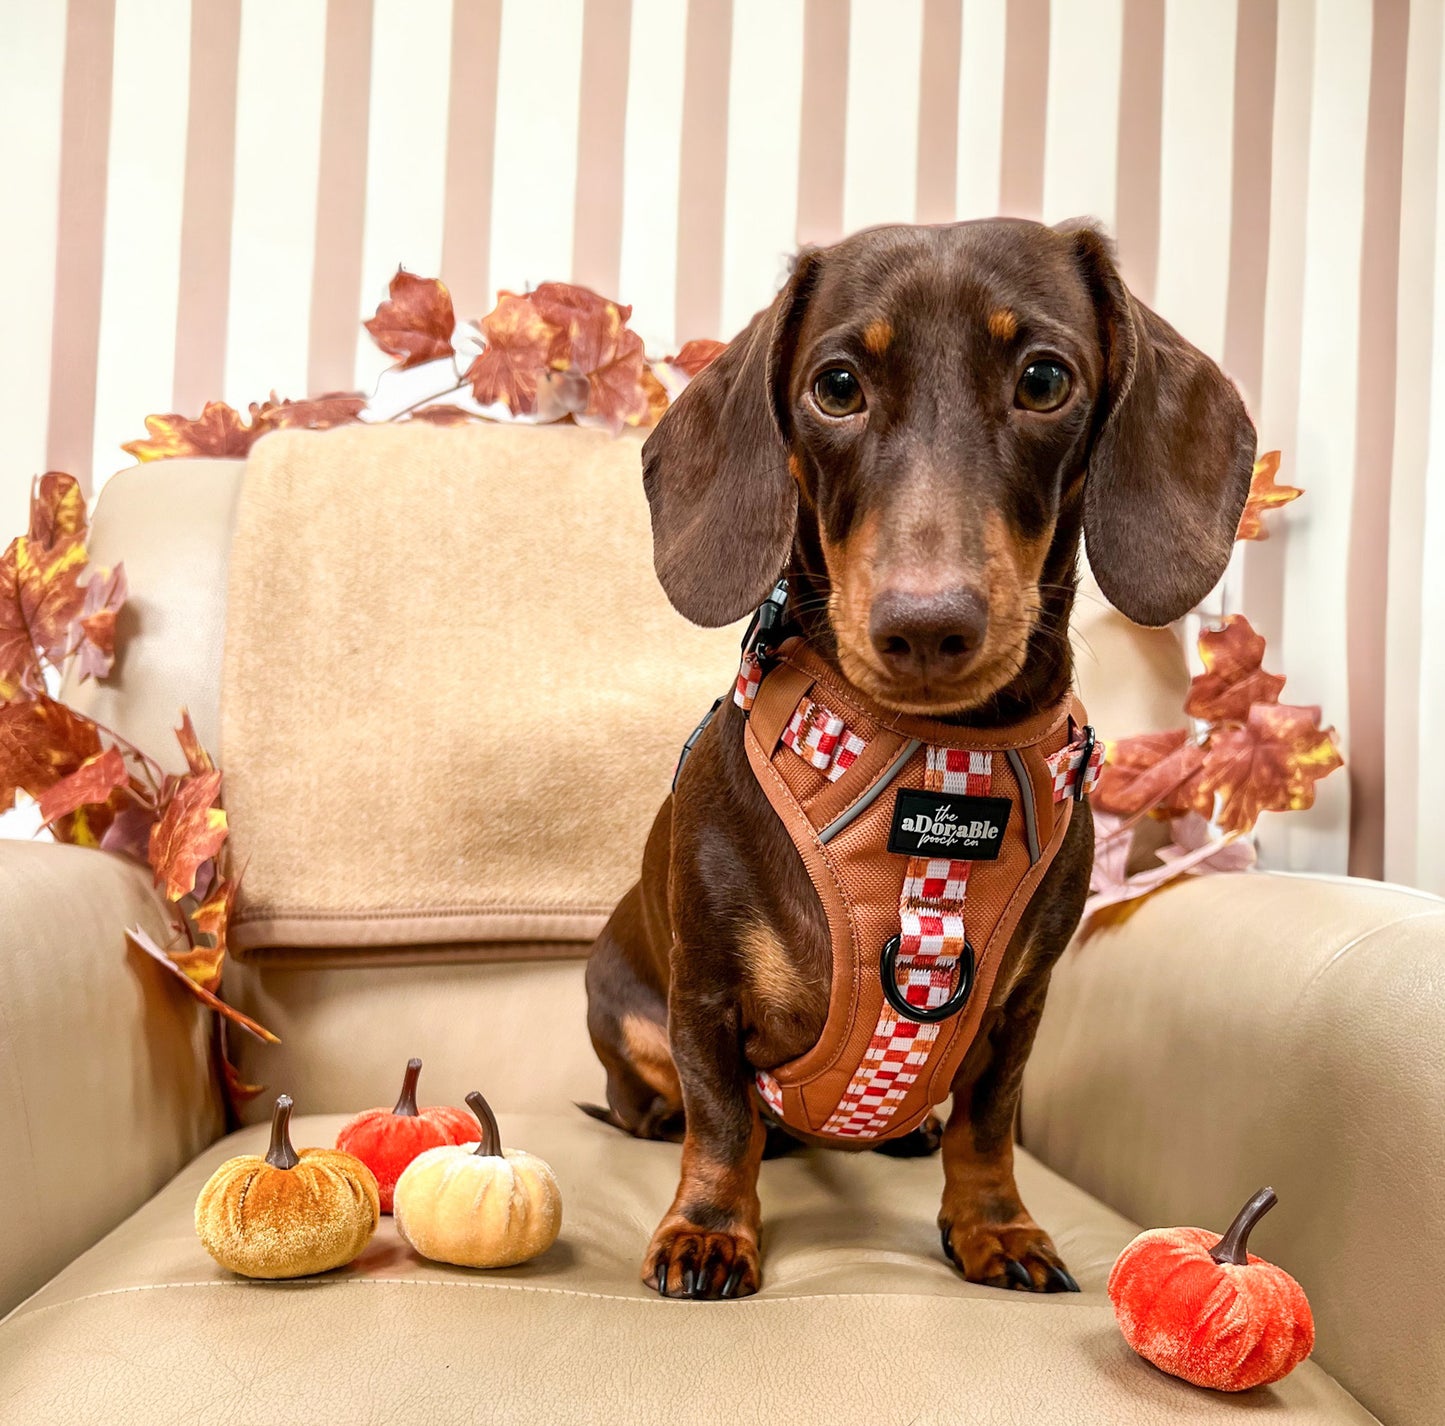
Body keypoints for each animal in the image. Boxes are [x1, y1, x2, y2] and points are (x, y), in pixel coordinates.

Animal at [583, 215, 1254, 1306]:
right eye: (837, 387)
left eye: (1042, 379)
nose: (926, 627)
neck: (934, 757)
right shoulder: (705, 996)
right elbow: (720, 1120)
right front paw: (708, 1232)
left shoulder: (1017, 1005)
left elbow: (987, 1124)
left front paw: (995, 1229)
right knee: (668, 1106)